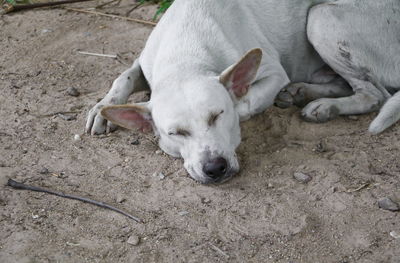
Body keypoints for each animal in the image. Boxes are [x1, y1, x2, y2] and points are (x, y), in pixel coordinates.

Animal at [85, 0, 400, 185]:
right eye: (176, 133)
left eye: (217, 116)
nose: (215, 168)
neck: (185, 55)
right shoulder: (143, 63)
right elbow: (123, 77)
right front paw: (102, 108)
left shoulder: (273, 73)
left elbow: (245, 103)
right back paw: (303, 93)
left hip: (321, 17)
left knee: (375, 95)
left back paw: (324, 106)